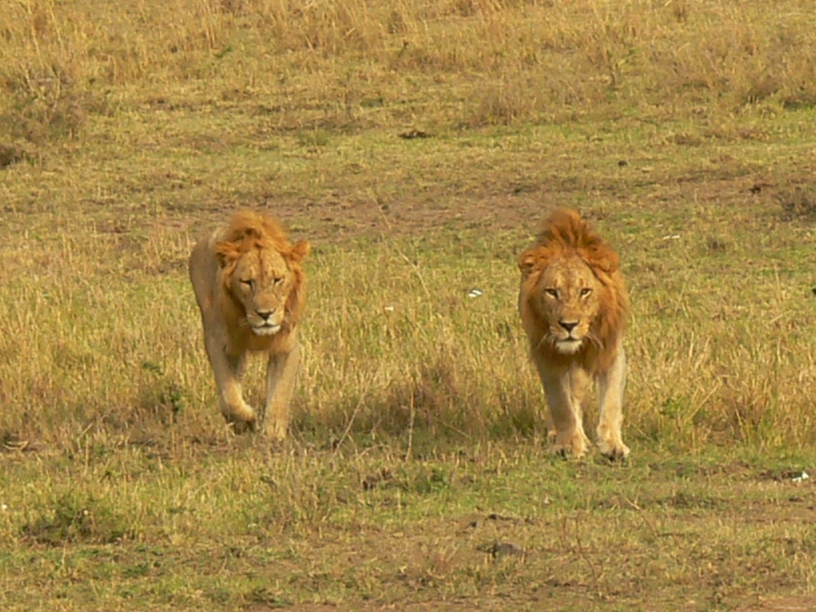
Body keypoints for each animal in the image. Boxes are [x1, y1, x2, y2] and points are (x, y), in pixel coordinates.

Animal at [189, 210, 310, 439]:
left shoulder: (287, 346)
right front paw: (247, 419)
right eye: (247, 282)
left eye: (277, 280)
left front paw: (273, 433)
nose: (265, 314)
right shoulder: (217, 342)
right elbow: (229, 395)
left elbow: (280, 392)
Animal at [518, 208, 630, 460]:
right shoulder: (546, 354)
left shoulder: (610, 349)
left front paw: (613, 445)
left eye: (585, 291)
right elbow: (561, 403)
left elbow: (611, 401)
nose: (568, 325)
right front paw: (569, 445)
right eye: (551, 292)